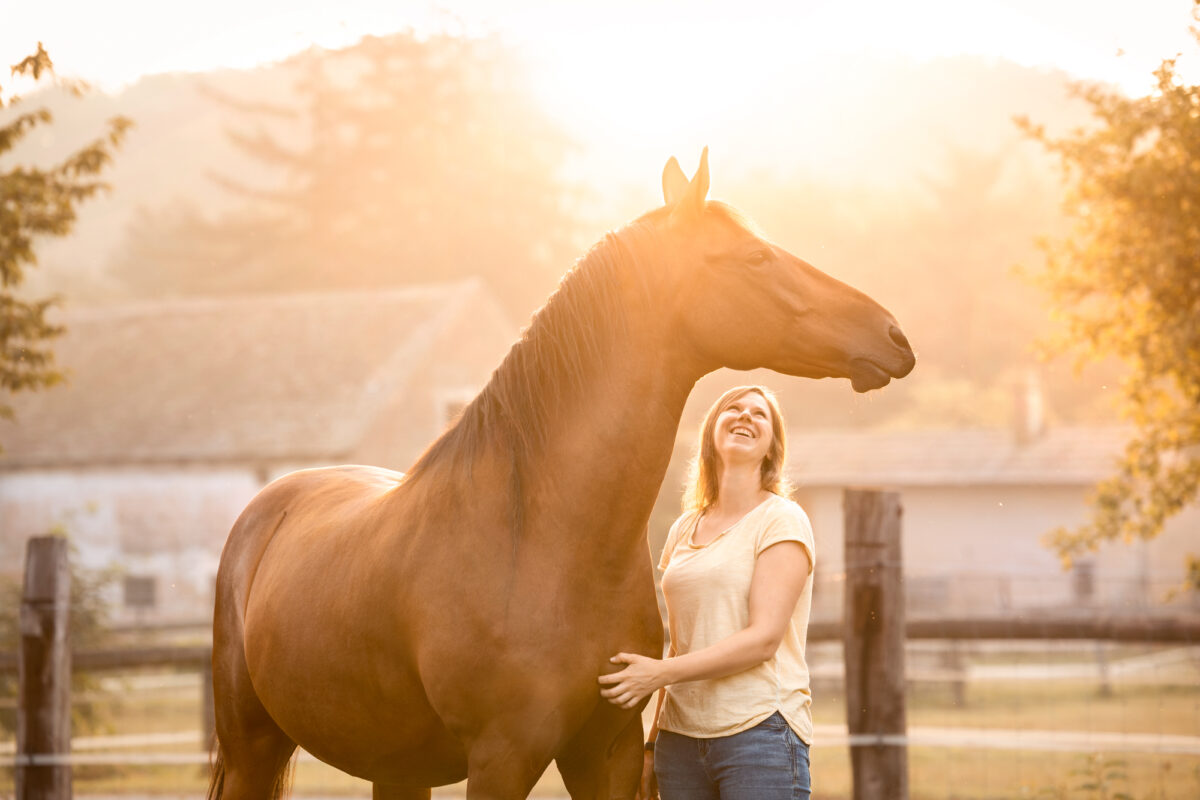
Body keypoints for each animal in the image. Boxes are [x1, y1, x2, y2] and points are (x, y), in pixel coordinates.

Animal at [209, 149, 916, 800]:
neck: (541, 538)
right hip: (253, 749)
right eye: (755, 258)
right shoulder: (502, 758)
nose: (895, 336)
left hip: (398, 768)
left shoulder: (608, 753)